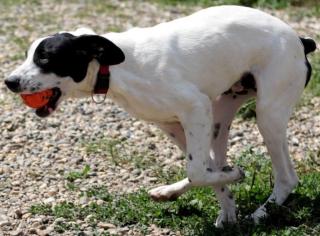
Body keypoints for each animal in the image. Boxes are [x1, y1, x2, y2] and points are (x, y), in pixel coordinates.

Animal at [4, 5, 316, 227]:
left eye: (45, 58)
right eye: (28, 55)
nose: (9, 82)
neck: (115, 67)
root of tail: (300, 40)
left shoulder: (195, 107)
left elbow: (197, 170)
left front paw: (237, 178)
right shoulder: (174, 124)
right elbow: (202, 171)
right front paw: (227, 208)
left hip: (267, 115)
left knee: (287, 177)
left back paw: (261, 214)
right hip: (221, 115)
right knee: (215, 160)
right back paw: (179, 193)